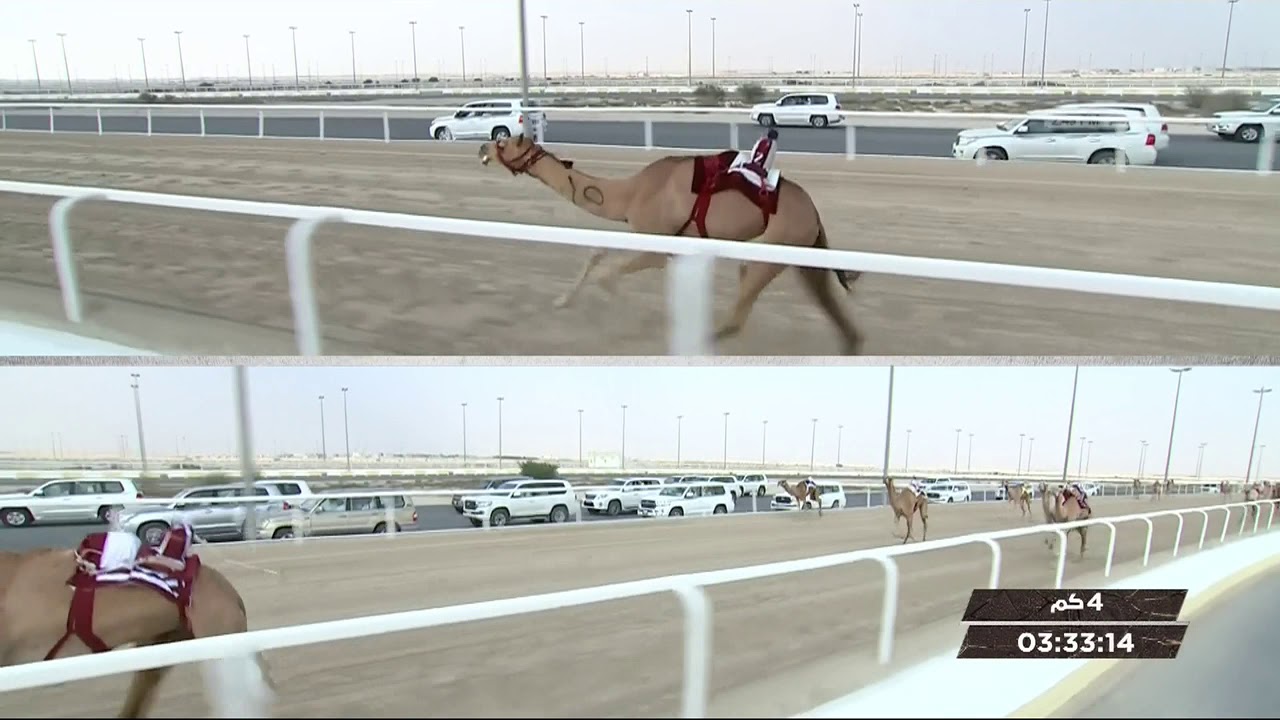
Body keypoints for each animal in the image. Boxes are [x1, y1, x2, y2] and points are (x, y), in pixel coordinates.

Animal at [477, 135, 864, 354]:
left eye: (503, 143)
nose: (482, 146)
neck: (631, 193)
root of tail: (813, 211)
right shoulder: (659, 240)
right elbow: (597, 252)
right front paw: (561, 300)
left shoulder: (659, 243)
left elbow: (608, 275)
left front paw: (642, 319)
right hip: (803, 251)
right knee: (825, 300)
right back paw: (850, 345)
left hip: (780, 242)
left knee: (742, 299)